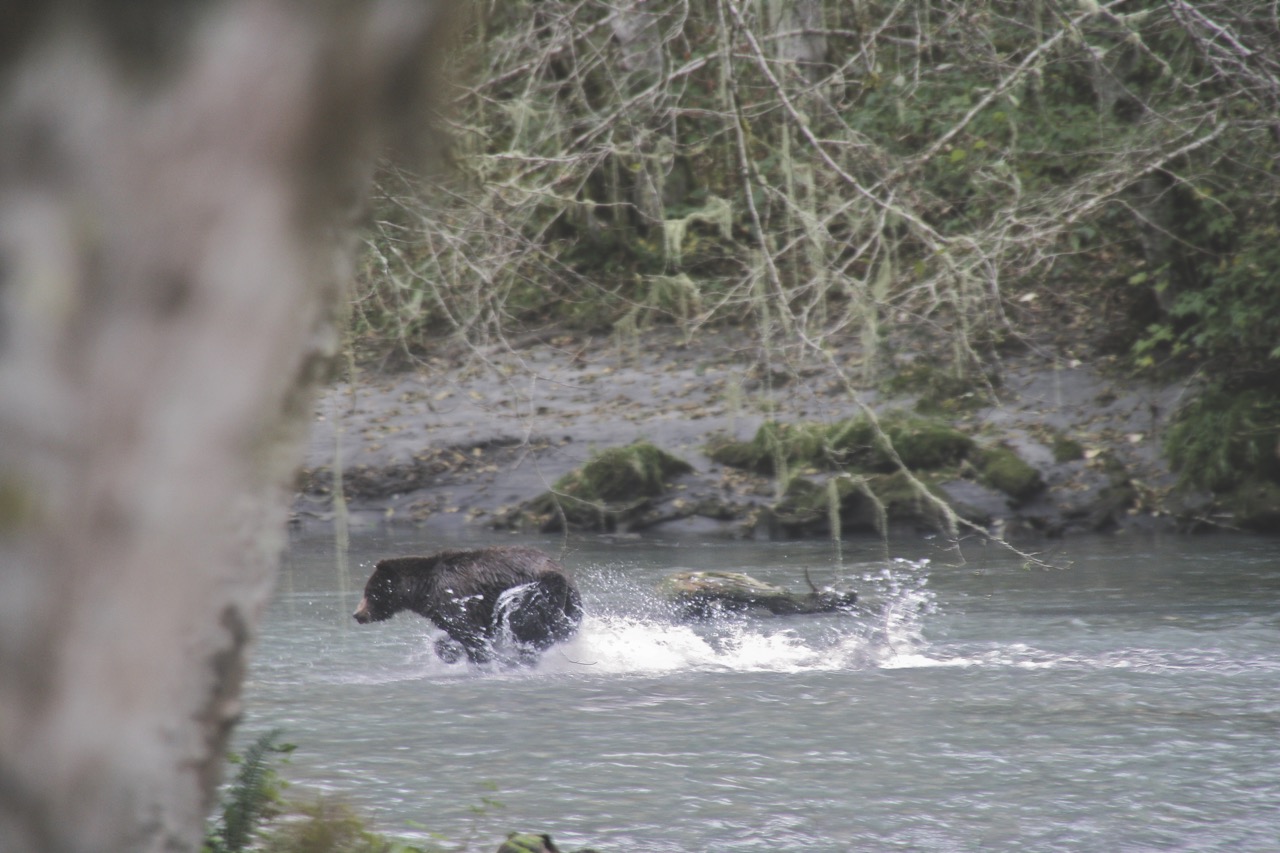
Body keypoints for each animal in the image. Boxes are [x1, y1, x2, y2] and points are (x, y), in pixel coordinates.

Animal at [355, 545, 586, 666]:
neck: (423, 590)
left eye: (369, 592)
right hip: (570, 602)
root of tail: (555, 572)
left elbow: (469, 634)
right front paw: (450, 651)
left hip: (529, 597)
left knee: (526, 627)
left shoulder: (454, 601)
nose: (357, 614)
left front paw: (479, 658)